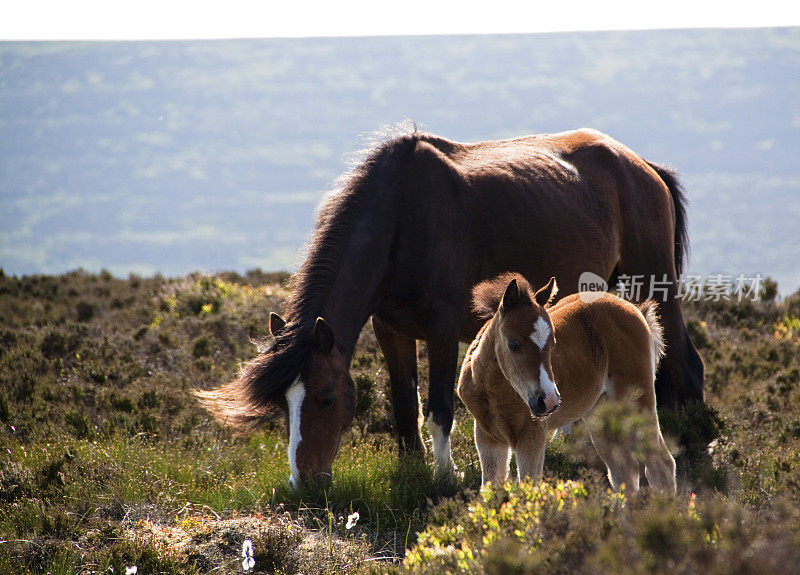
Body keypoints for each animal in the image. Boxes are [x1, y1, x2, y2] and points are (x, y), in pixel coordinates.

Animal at [456, 276, 676, 492]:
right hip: (600, 411)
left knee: (661, 464)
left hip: (640, 402)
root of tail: (634, 308)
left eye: (553, 344)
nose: (549, 401)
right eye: (513, 344)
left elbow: (529, 489)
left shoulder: (531, 434)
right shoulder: (488, 436)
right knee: (624, 473)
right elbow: (490, 490)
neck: (493, 391)